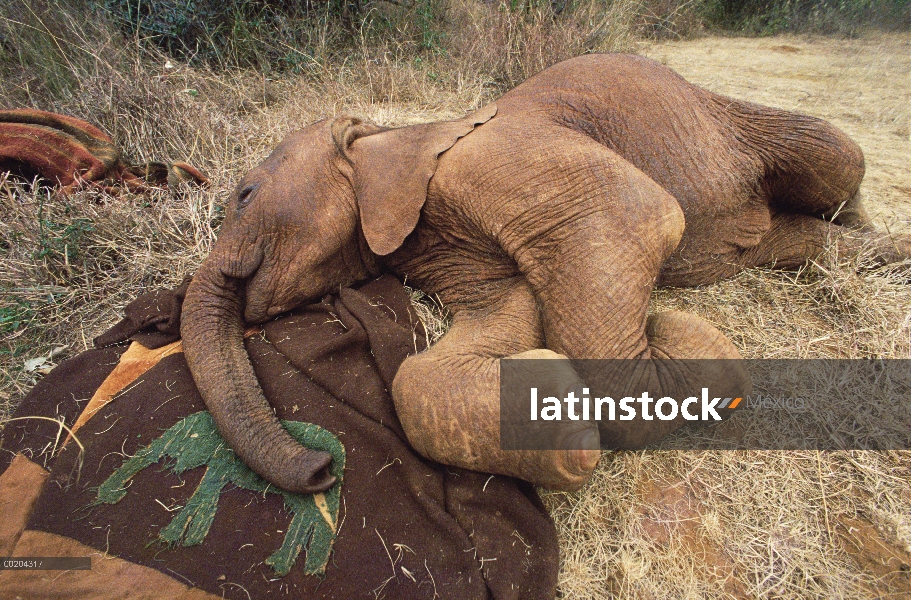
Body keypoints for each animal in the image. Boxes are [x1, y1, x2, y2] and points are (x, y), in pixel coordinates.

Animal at [180, 54, 911, 494]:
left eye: (244, 196)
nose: (322, 471)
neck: (391, 134)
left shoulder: (491, 158)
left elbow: (630, 211)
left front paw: (688, 344)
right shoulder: (436, 244)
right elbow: (503, 317)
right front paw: (561, 423)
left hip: (741, 123)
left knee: (835, 159)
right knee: (809, 238)